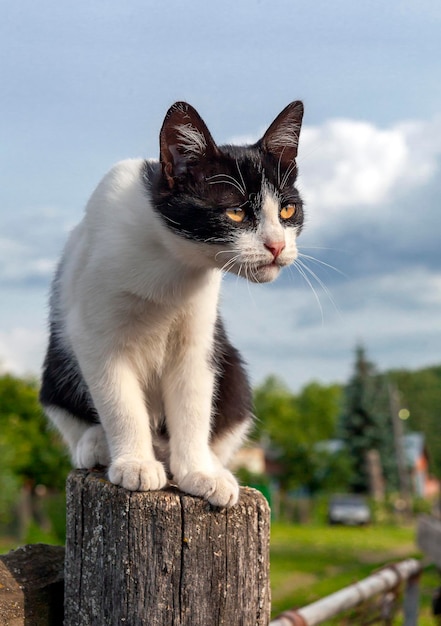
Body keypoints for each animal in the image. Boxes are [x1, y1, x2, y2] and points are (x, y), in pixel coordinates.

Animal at [40, 98, 302, 508]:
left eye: (288, 211)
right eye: (235, 212)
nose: (277, 246)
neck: (170, 266)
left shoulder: (198, 335)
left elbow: (193, 401)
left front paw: (198, 473)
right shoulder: (93, 334)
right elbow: (119, 400)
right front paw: (135, 464)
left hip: (233, 373)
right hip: (56, 369)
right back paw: (98, 444)